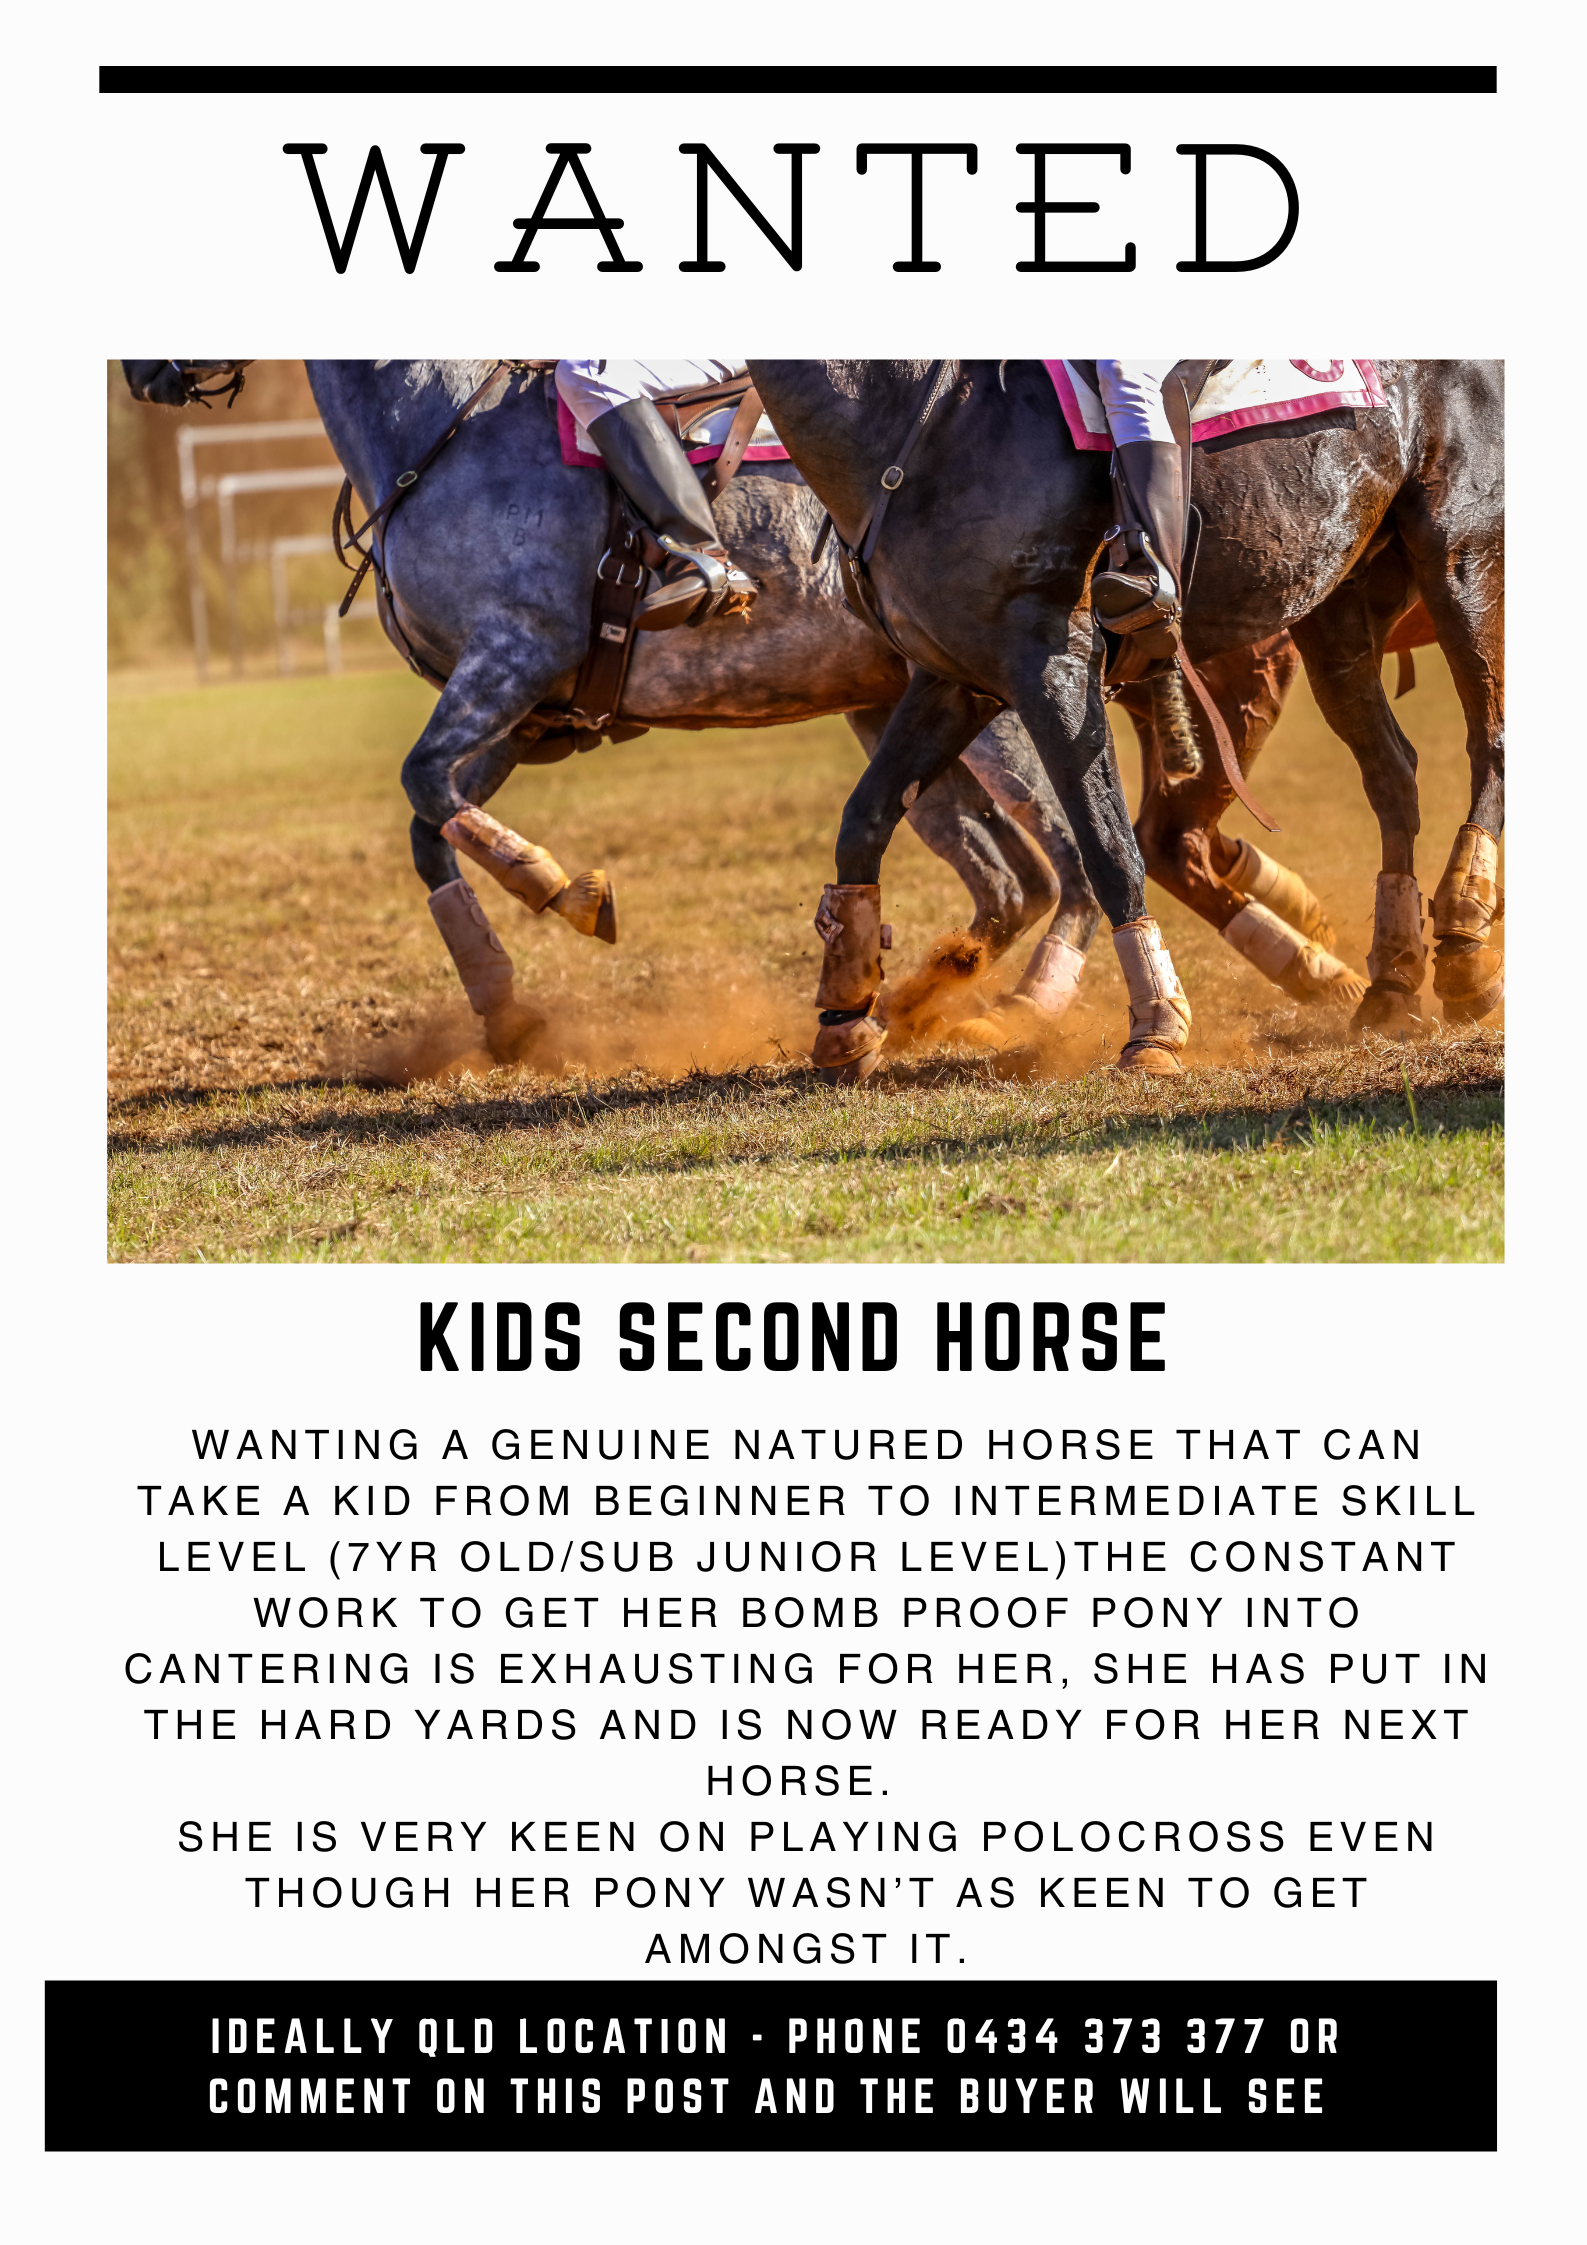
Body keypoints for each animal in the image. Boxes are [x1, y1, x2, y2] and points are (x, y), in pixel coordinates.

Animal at [748, 359, 1504, 1075]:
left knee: (1488, 741)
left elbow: (1108, 848)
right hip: (1335, 603)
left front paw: (1156, 1025)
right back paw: (1393, 982)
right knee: (1391, 775)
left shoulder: (1053, 664)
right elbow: (864, 821)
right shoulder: (954, 679)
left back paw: (1465, 943)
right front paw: (845, 1016)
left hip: (1459, 557)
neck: (919, 416)